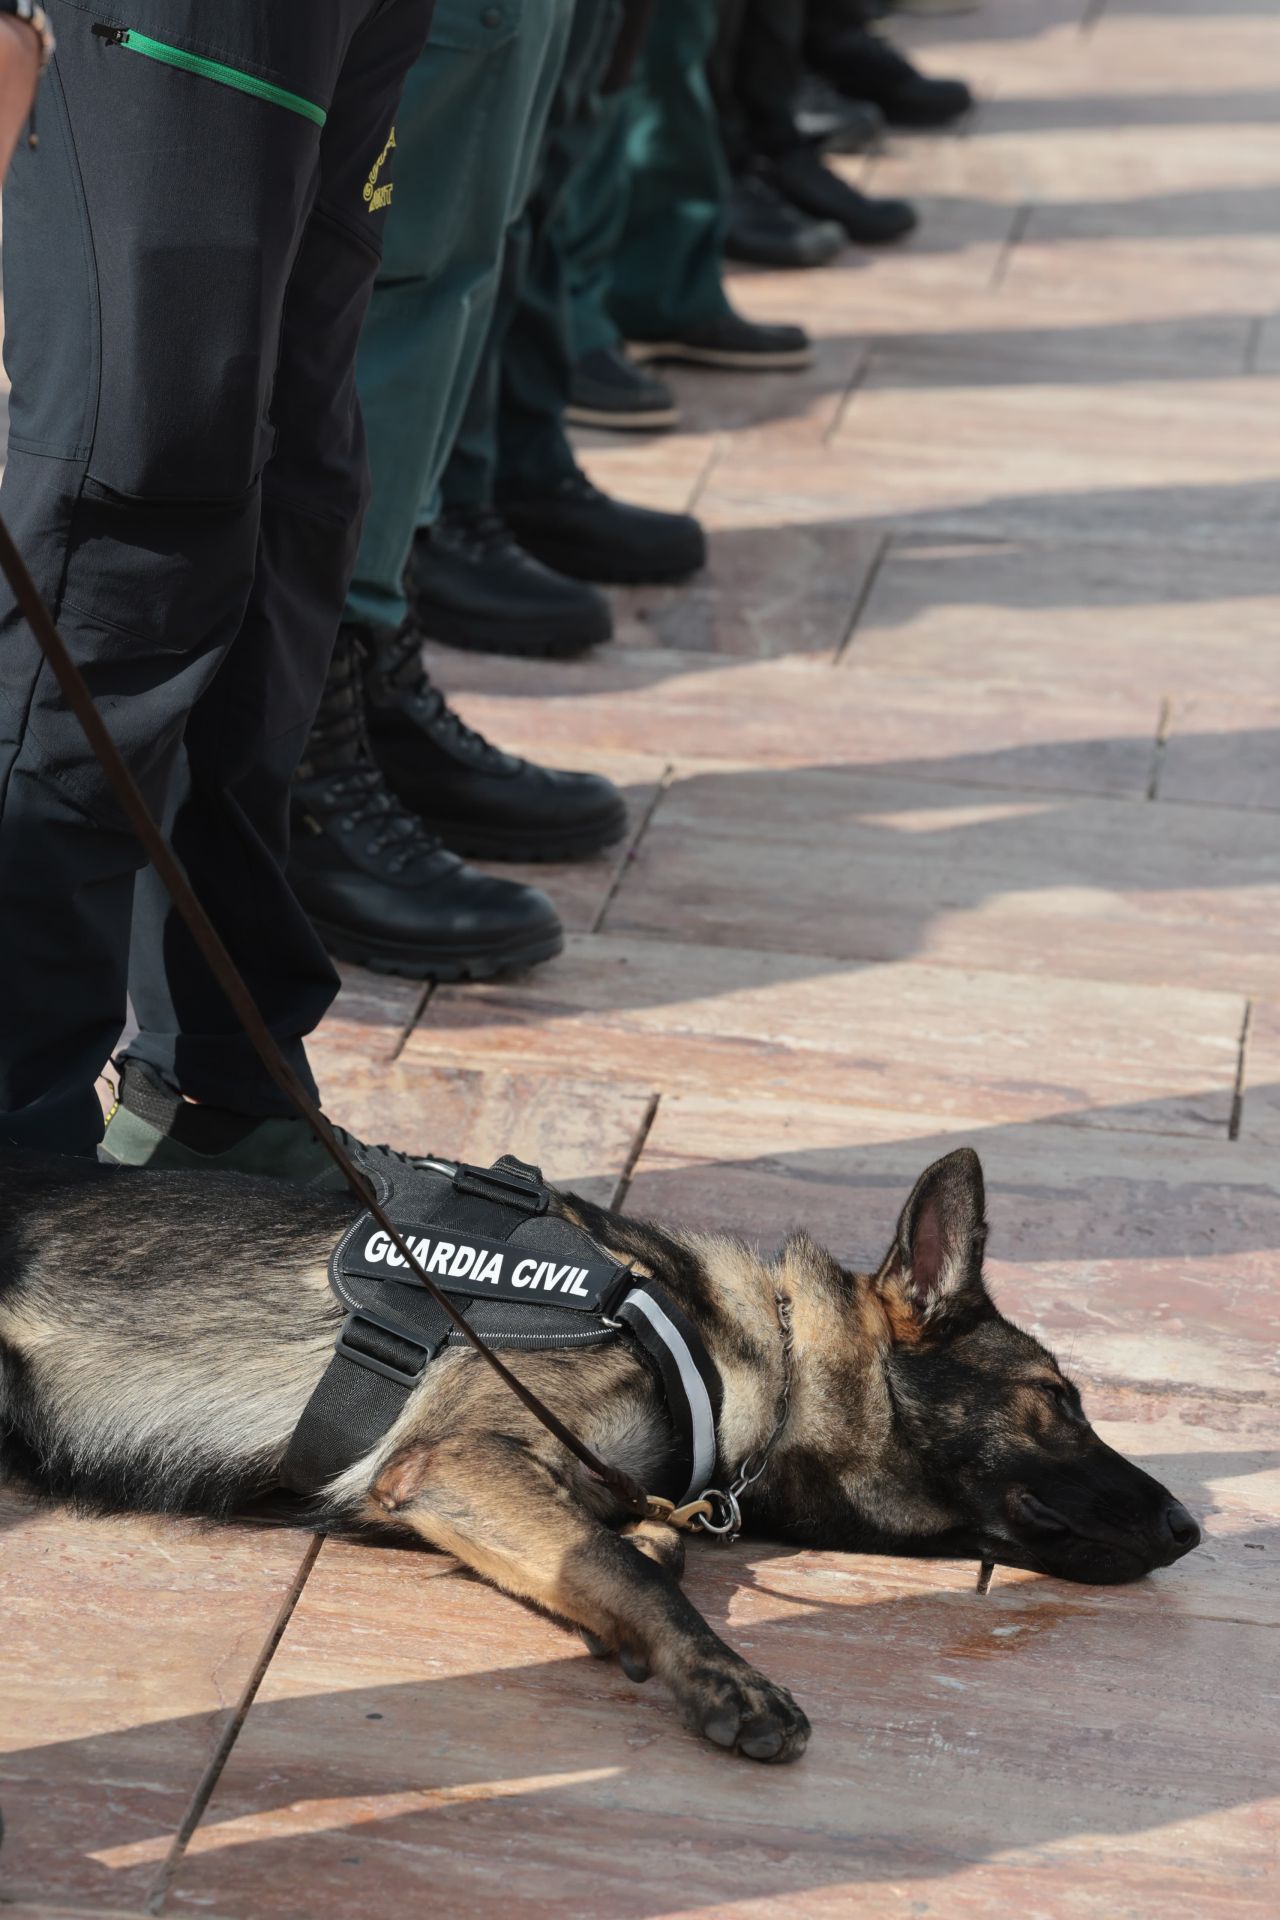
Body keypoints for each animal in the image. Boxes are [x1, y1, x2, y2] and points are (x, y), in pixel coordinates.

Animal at [0, 1144, 1205, 1758]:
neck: (738, 1357)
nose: (1192, 1527)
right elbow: (635, 1565)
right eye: (1058, 1402)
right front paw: (720, 1674)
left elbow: (623, 1547)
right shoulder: (451, 1459)